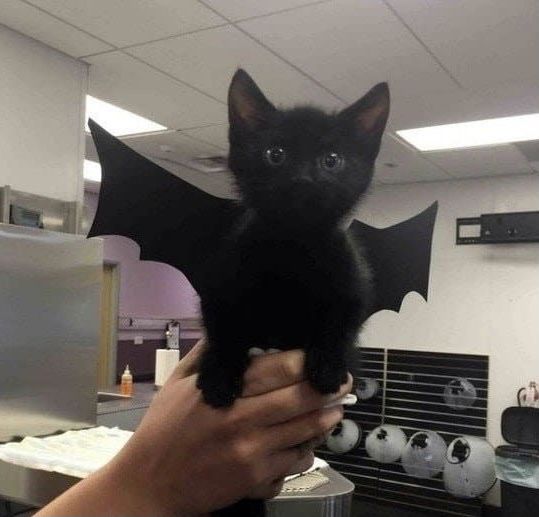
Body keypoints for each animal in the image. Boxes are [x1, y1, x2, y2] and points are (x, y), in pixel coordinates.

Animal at [196, 68, 390, 408]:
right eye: (276, 154)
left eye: (332, 159)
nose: (303, 179)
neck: (294, 244)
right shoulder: (218, 285)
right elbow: (223, 330)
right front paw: (219, 376)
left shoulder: (353, 286)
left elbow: (340, 327)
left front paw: (327, 366)